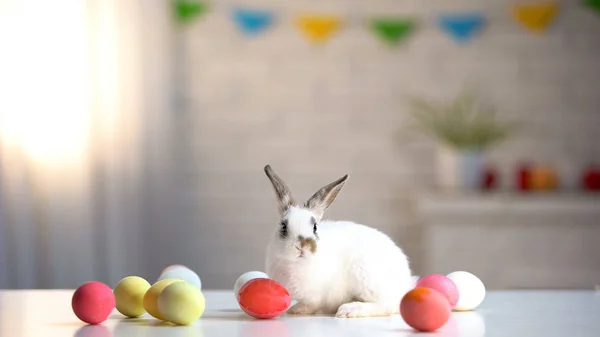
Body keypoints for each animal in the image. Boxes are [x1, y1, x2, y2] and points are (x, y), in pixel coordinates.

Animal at [262, 164, 418, 316]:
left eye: (315, 227)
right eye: (283, 226)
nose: (303, 245)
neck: (297, 265)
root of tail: (405, 284)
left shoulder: (317, 295)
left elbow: (312, 304)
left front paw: (297, 310)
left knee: (386, 305)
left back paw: (350, 309)